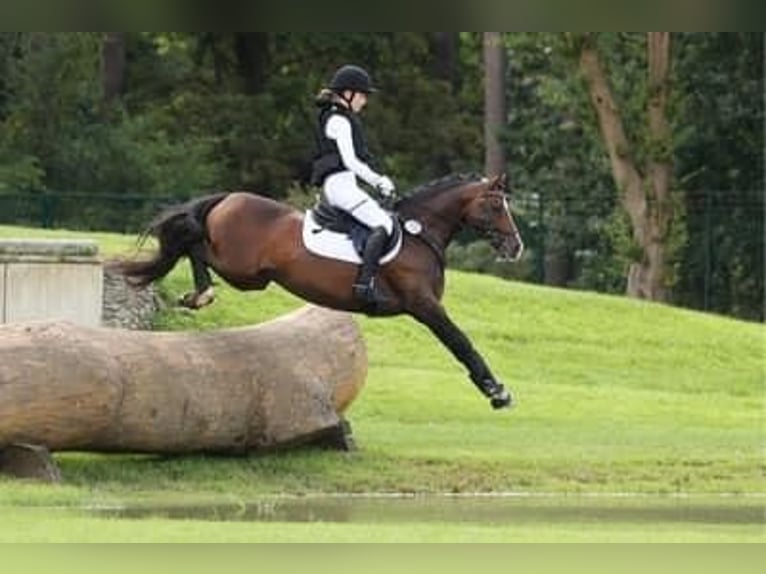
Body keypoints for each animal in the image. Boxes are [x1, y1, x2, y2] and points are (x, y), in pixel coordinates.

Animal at [118, 173, 528, 412]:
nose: (516, 247)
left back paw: (196, 294)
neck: (419, 233)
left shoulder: (424, 306)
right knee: (193, 243)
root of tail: (228, 197)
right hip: (241, 269)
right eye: (495, 204)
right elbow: (460, 342)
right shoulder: (424, 305)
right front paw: (497, 392)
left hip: (249, 275)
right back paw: (200, 293)